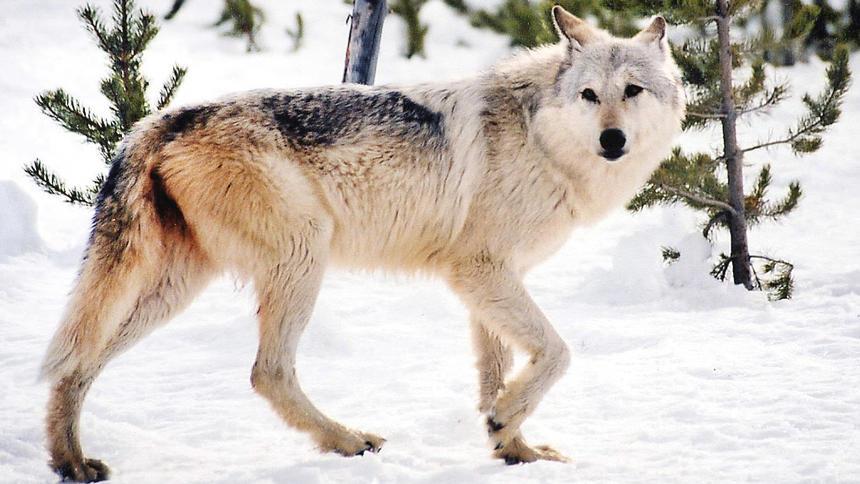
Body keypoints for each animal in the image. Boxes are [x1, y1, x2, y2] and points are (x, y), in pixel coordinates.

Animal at [40, 6, 684, 481]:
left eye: (632, 91)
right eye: (589, 95)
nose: (612, 140)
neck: (540, 138)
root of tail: (161, 120)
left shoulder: (492, 281)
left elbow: (496, 375)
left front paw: (514, 449)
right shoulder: (479, 271)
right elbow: (556, 353)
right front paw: (506, 424)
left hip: (175, 287)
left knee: (75, 365)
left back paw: (70, 462)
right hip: (303, 256)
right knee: (267, 373)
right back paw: (346, 441)